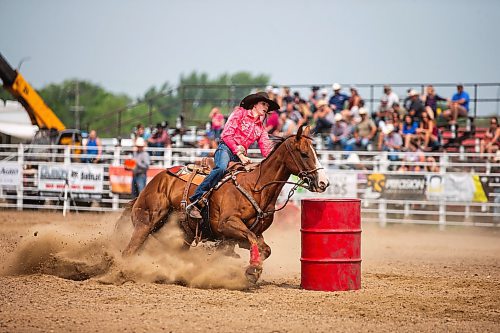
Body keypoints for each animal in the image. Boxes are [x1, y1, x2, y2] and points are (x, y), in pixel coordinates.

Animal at [119, 126, 330, 282]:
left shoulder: (251, 233)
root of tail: (154, 182)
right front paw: (253, 269)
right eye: (304, 153)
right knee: (128, 252)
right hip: (146, 223)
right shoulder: (227, 224)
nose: (324, 183)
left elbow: (264, 248)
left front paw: (252, 270)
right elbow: (252, 240)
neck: (256, 187)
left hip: (180, 235)